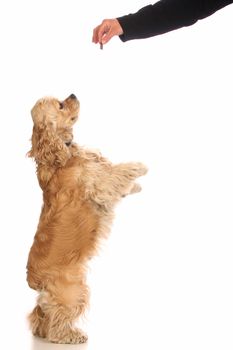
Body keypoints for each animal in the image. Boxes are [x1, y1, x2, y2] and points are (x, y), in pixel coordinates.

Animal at [26, 93, 147, 344]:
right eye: (61, 105)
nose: (73, 94)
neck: (59, 154)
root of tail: (34, 281)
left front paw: (135, 186)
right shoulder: (98, 184)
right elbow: (116, 172)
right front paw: (138, 167)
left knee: (41, 313)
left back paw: (41, 332)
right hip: (73, 291)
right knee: (58, 319)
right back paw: (70, 336)